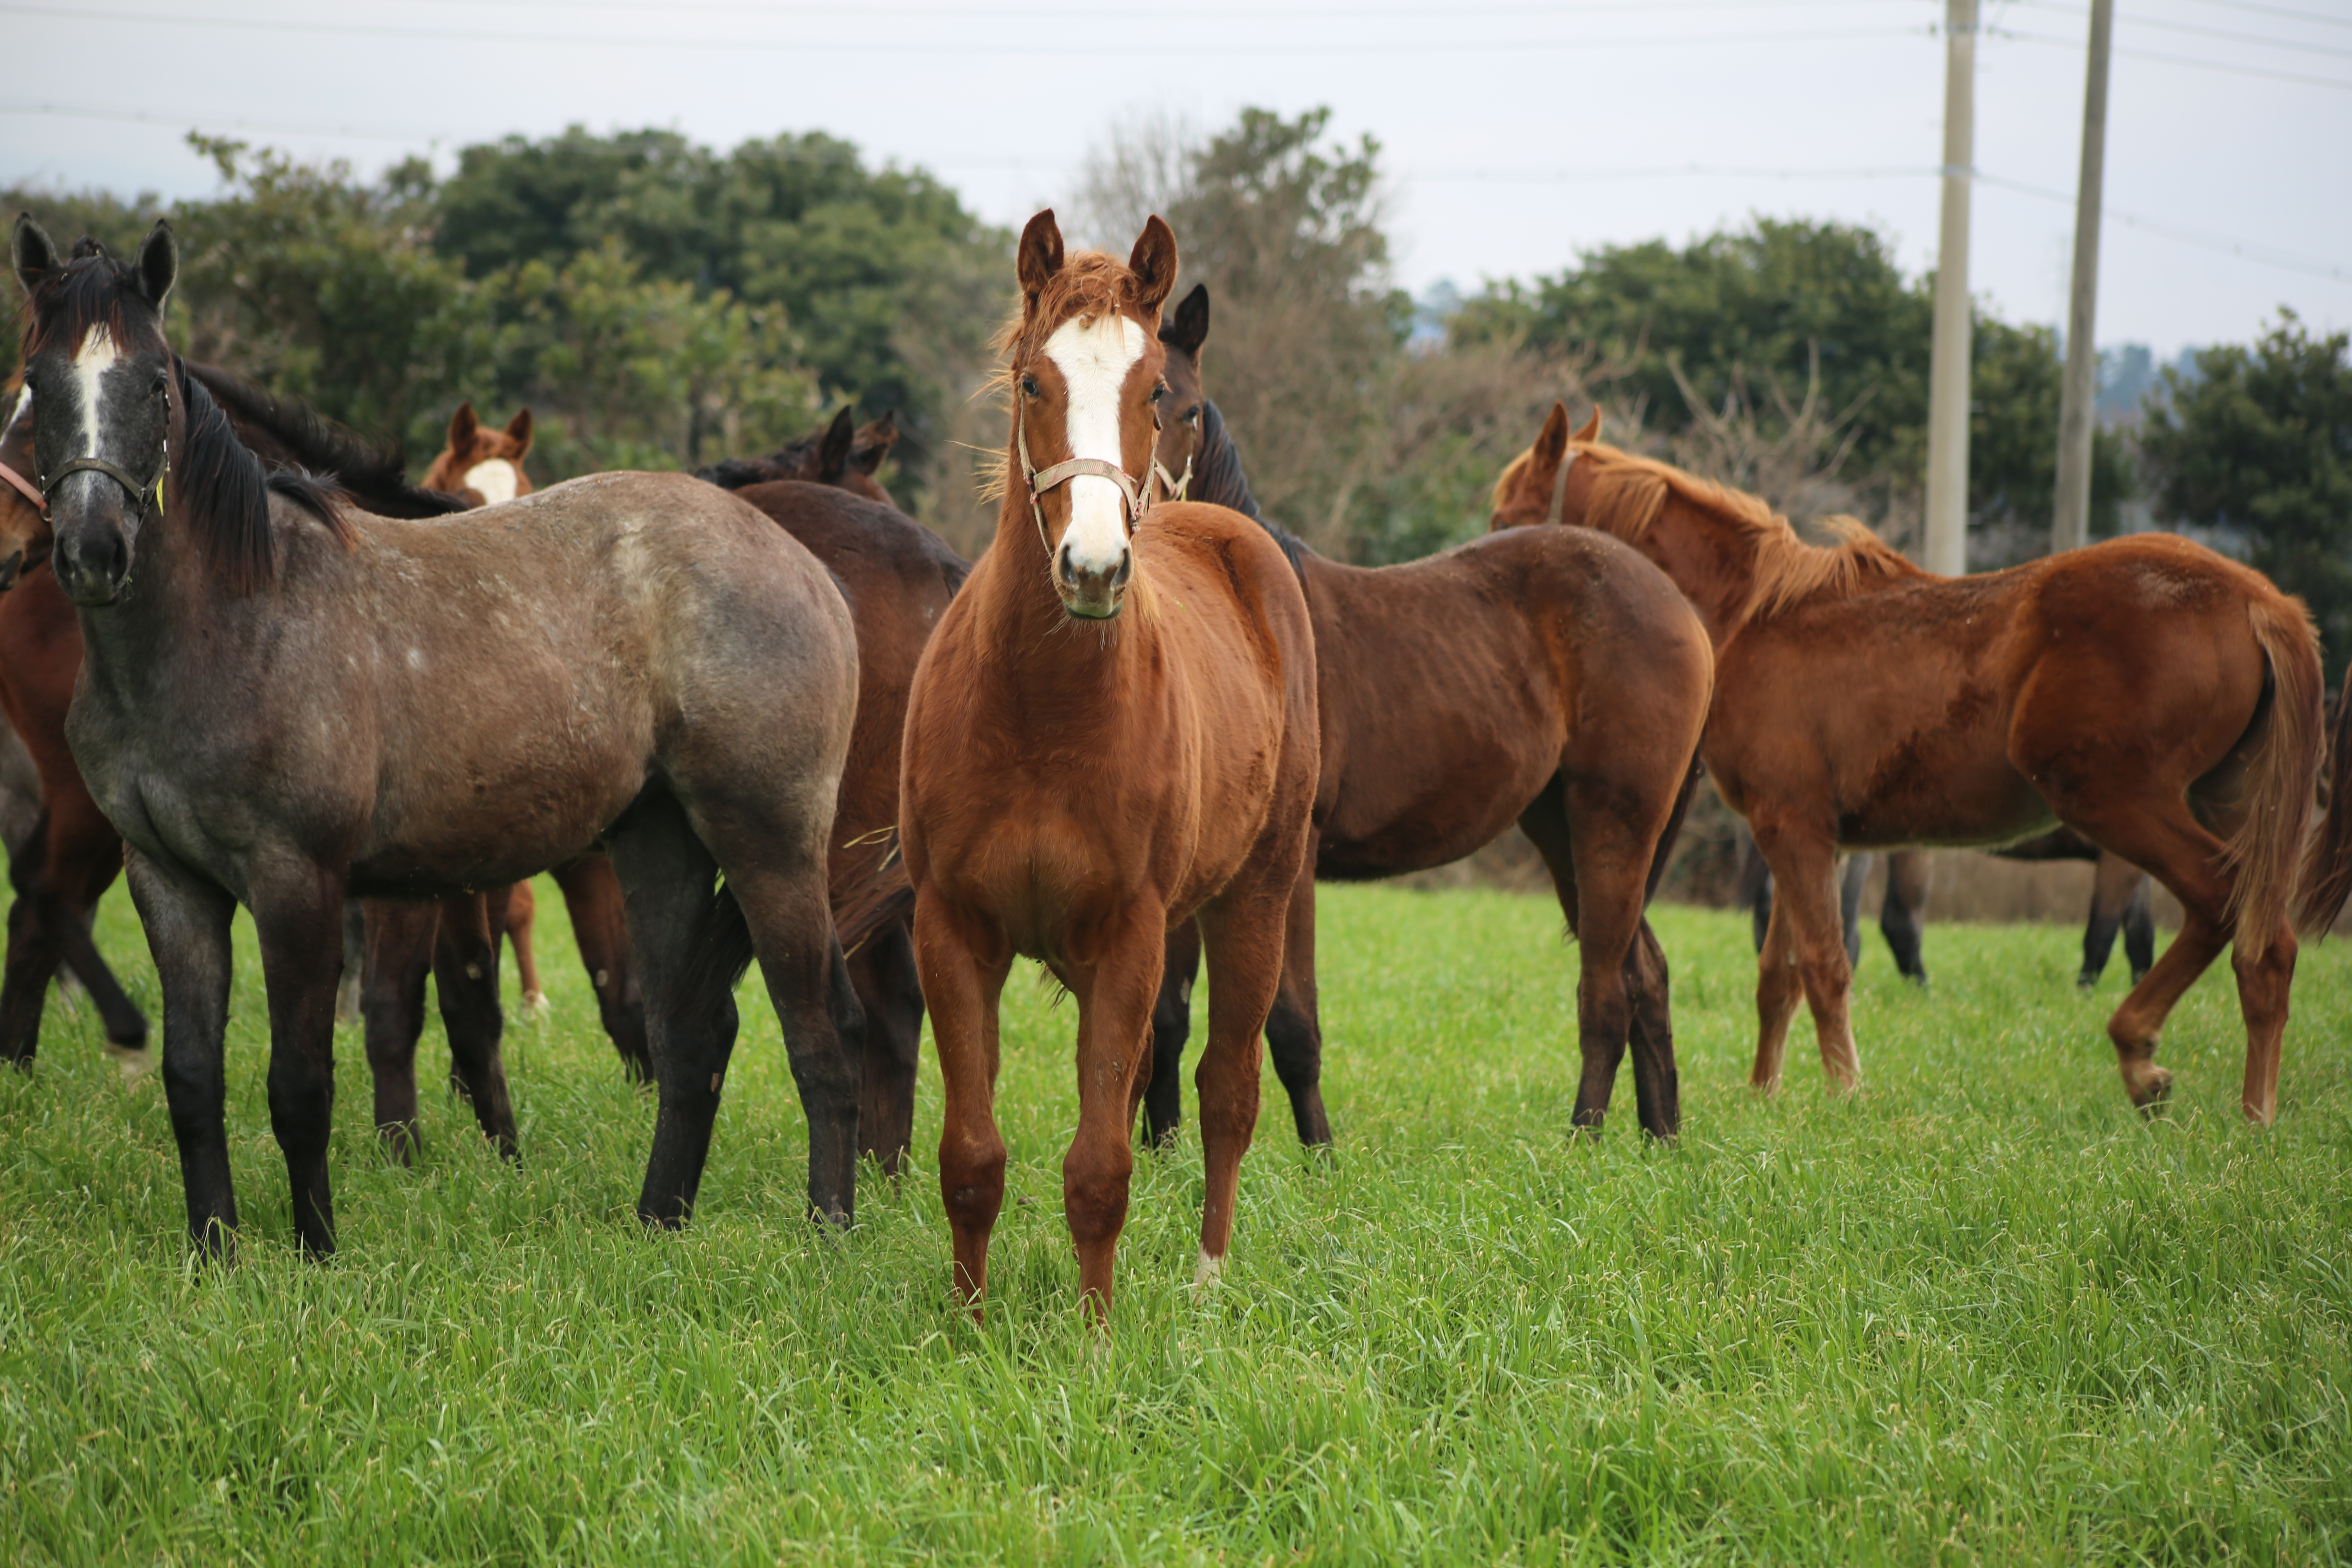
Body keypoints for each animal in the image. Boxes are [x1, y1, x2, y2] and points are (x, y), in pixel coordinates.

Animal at [18, 215, 865, 1260]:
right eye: (37, 383)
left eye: (151, 385)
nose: (93, 551)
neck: (232, 619)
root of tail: (807, 568)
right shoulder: (169, 882)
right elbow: (192, 1077)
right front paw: (213, 1251)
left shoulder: (299, 879)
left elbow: (301, 1083)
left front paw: (316, 1253)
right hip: (659, 845)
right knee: (688, 1036)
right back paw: (655, 1225)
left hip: (770, 845)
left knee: (815, 1029)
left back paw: (829, 1233)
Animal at [893, 217, 1317, 1326]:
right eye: (1031, 383)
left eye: (1154, 393)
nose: (1092, 567)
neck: (1041, 714)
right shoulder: (954, 930)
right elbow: (973, 1156)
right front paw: (967, 1325)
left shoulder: (1130, 935)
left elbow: (1100, 1167)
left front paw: (1092, 1335)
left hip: (1254, 899)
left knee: (1225, 1091)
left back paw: (1208, 1281)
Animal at [1138, 285, 1712, 1142]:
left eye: (1188, 410)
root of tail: (1682, 609)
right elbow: (1166, 1019)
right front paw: (1161, 1155)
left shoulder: (1291, 864)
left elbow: (1291, 1024)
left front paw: (1320, 1158)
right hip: (1562, 828)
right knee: (1647, 975)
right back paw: (1658, 1139)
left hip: (1614, 821)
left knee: (1608, 989)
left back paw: (1584, 1141)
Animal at [1496, 399, 2342, 1123]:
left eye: (1508, 516)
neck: (1757, 617)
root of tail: (2256, 598)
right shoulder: (1810, 839)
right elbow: (1781, 976)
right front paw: (1766, 1095)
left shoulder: (1794, 829)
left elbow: (1826, 966)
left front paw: (1845, 1093)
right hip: (2225, 804)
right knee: (2266, 944)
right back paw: (2245, 1105)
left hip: (2119, 804)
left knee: (2222, 906)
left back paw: (2155, 1063)